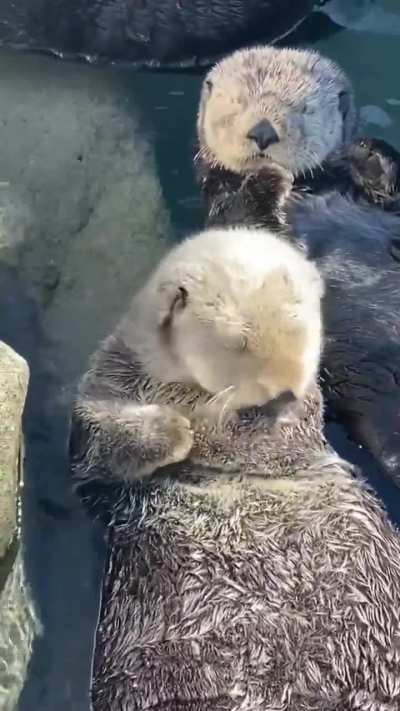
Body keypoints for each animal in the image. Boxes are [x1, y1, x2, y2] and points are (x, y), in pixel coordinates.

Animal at [68, 226, 400, 711]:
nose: (283, 391)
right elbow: (95, 448)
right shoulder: (104, 390)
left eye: (302, 330)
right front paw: (173, 430)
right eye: (237, 343)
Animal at [195, 45, 400, 485]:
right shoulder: (222, 208)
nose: (262, 132)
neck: (311, 188)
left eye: (303, 109)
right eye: (238, 103)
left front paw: (370, 153)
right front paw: (266, 179)